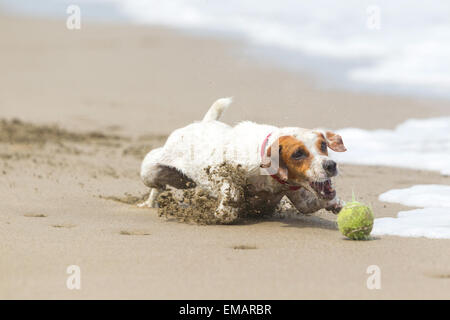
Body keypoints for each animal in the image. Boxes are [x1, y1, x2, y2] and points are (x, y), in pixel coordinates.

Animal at [142, 97, 346, 222]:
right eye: (297, 153)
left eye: (323, 145)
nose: (330, 165)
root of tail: (203, 122)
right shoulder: (218, 171)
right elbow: (231, 191)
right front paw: (224, 212)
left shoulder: (300, 197)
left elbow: (311, 204)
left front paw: (335, 203)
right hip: (151, 171)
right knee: (156, 186)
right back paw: (149, 203)